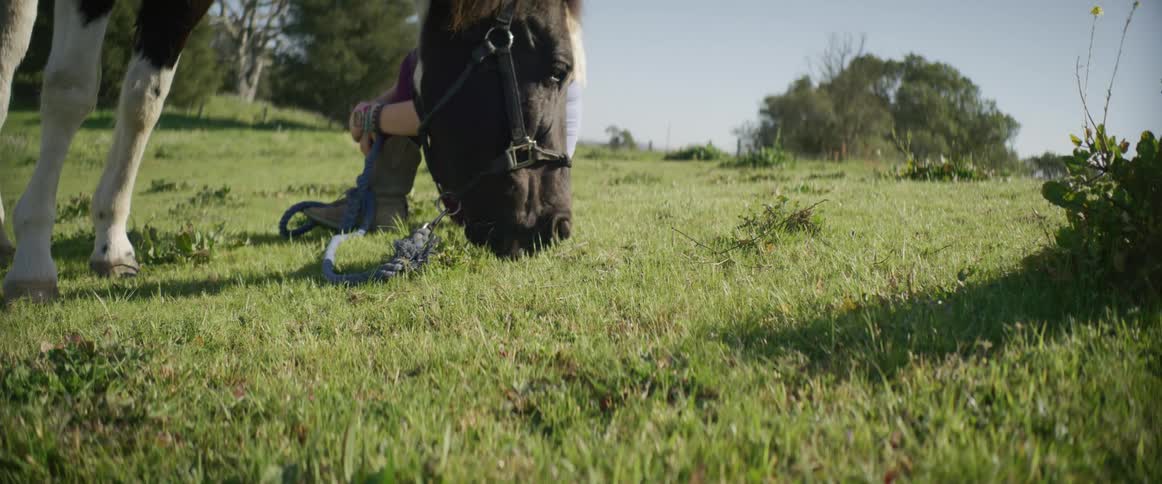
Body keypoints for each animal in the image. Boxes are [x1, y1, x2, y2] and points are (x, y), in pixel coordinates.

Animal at [0, 0, 584, 302]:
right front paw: (33, 260)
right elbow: (69, 87)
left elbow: (144, 99)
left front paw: (112, 243)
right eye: (559, 70)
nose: (557, 228)